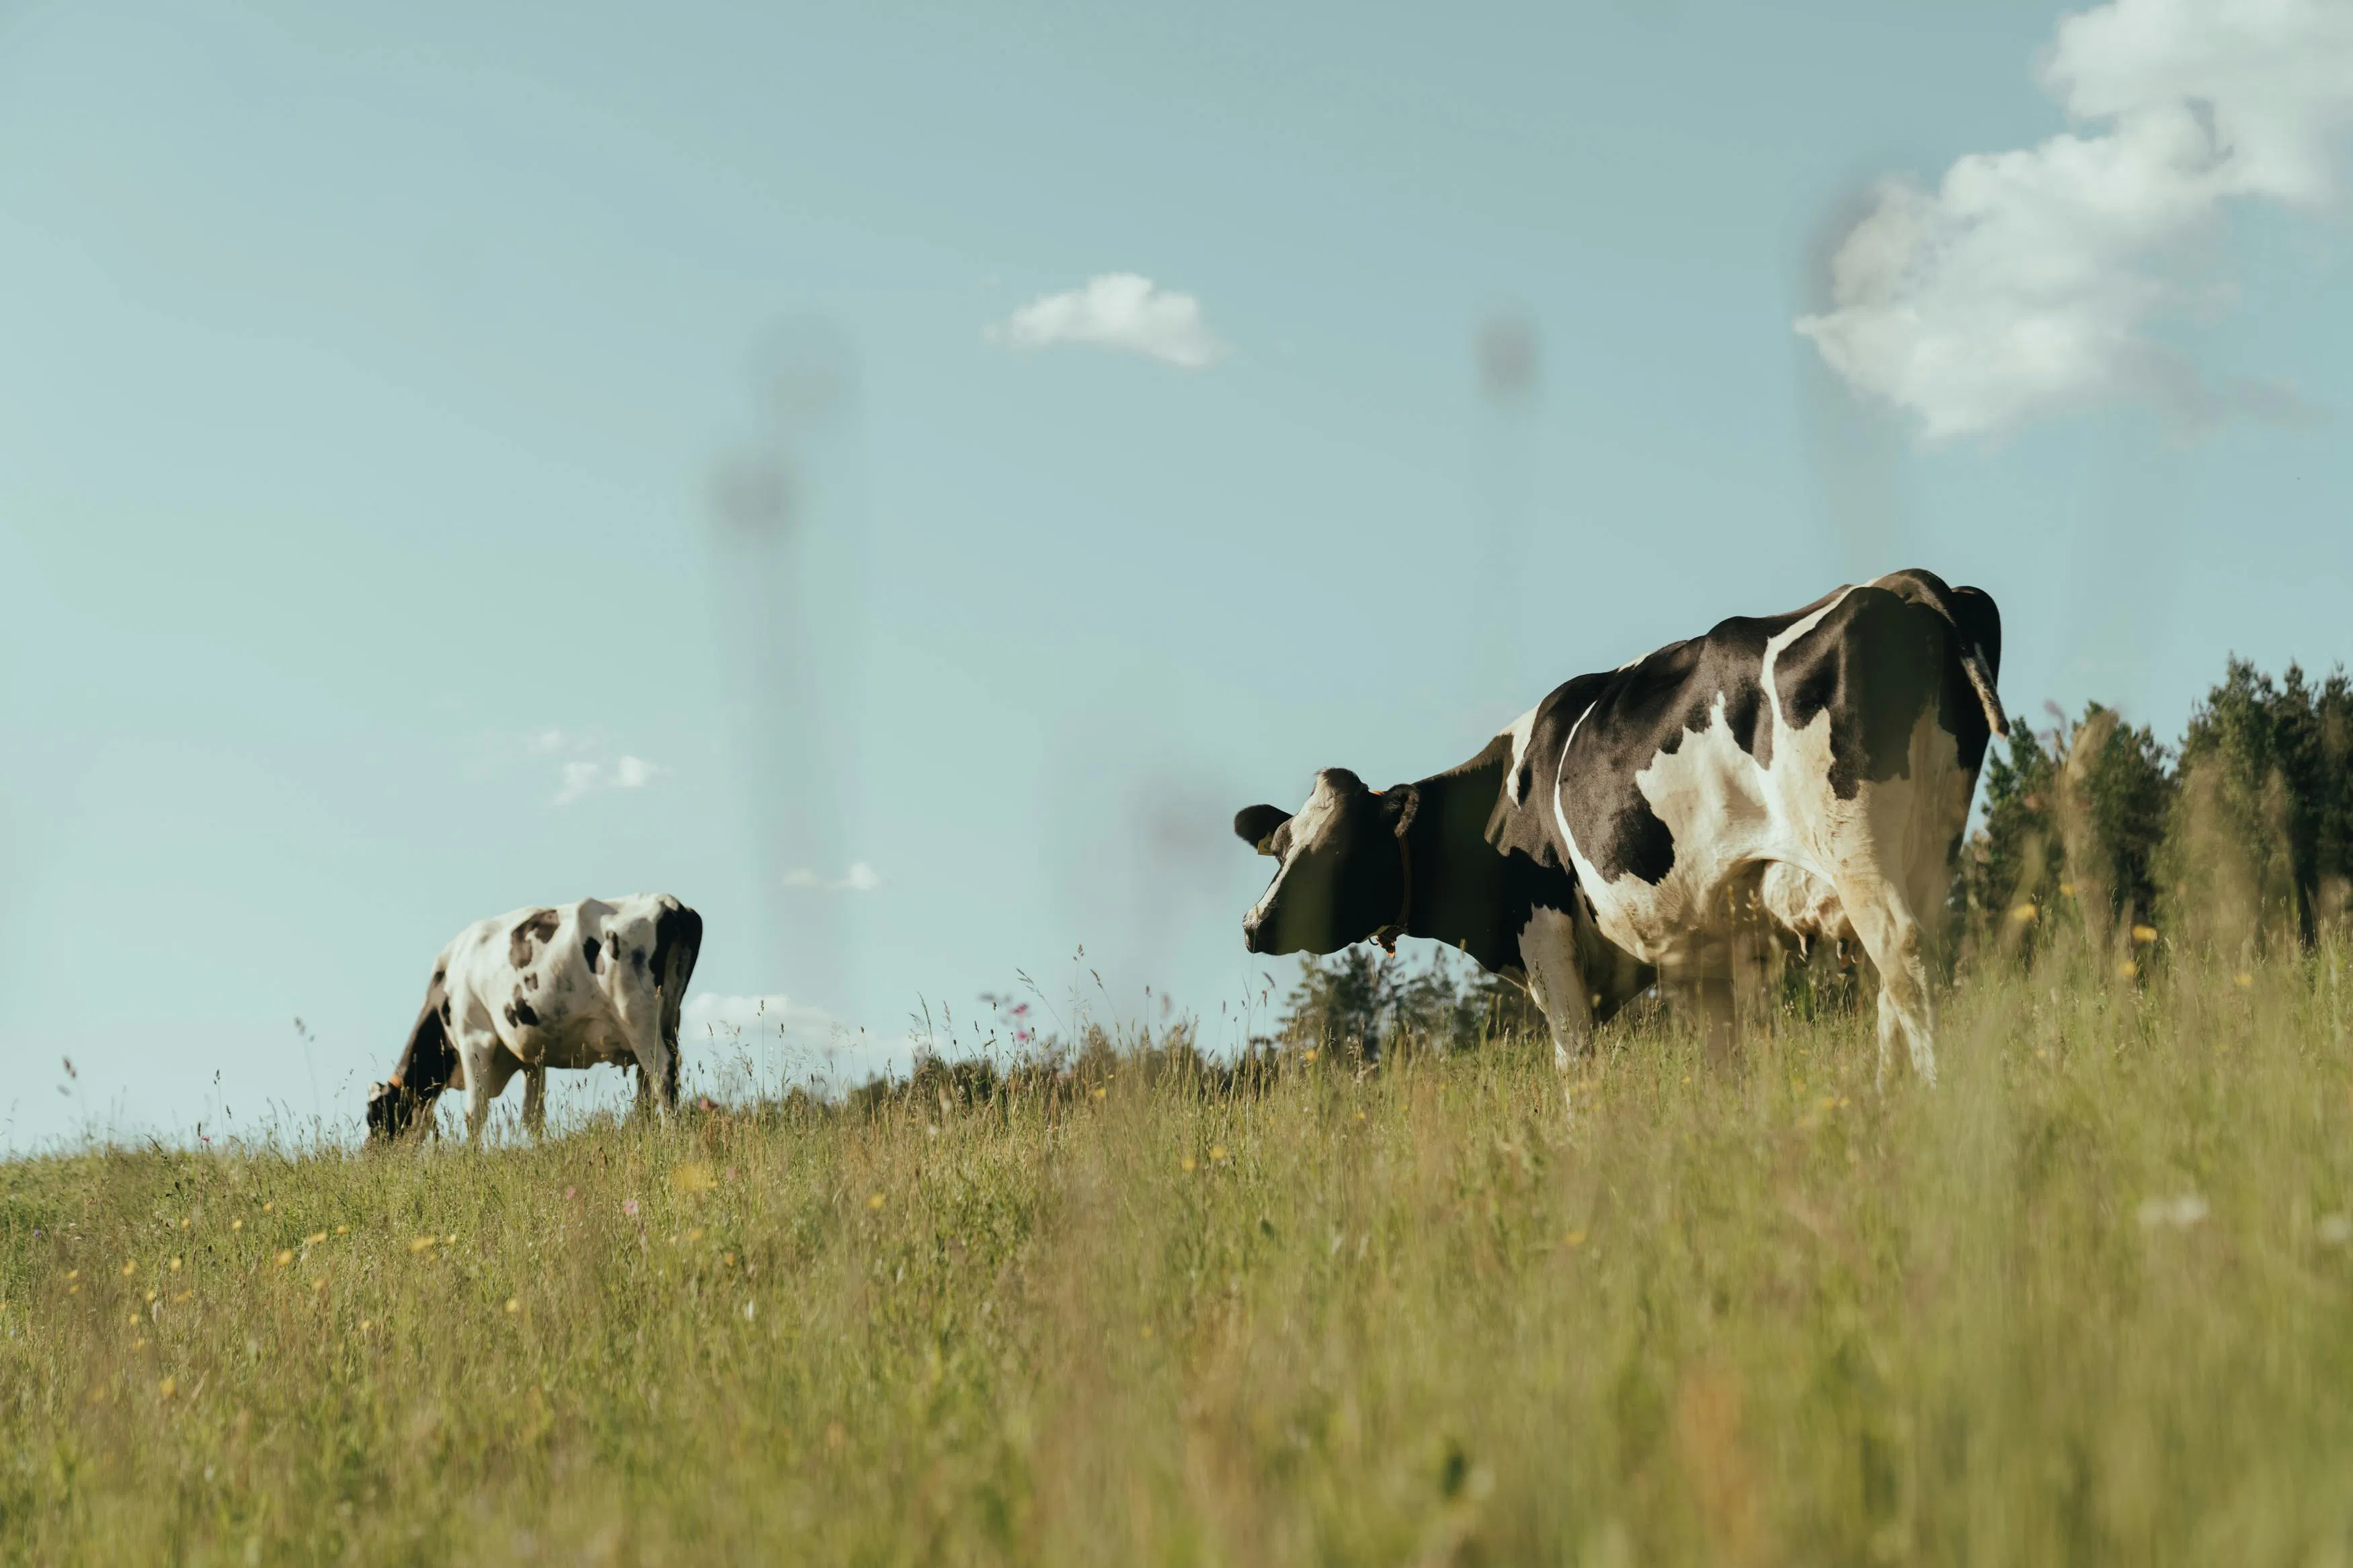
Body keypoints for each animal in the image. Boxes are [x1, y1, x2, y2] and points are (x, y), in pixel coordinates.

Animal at [366, 894, 703, 1143]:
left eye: (376, 1119)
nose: (371, 1156)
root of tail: (670, 904)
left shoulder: (474, 1038)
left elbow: (475, 1112)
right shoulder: (531, 1059)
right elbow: (532, 1117)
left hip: (639, 1021)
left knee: (661, 1073)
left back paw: (671, 1137)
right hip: (669, 1021)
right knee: (651, 1083)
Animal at [1234, 569, 2004, 1087]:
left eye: (1336, 851)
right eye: (1279, 849)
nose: (1253, 923)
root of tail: (1905, 585)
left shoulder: (1544, 932)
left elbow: (1575, 1061)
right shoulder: (1706, 946)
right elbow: (1722, 1058)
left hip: (1857, 848)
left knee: (1902, 953)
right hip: (1929, 841)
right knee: (1898, 971)